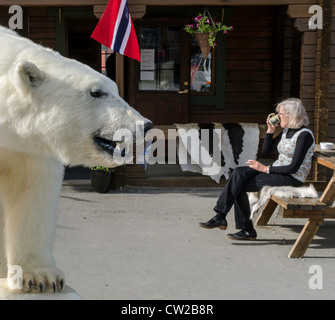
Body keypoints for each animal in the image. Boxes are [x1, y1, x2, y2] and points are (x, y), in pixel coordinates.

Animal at [0, 26, 153, 294]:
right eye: (96, 92)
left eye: (115, 89)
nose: (145, 125)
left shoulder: (27, 147)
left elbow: (31, 190)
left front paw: (40, 277)